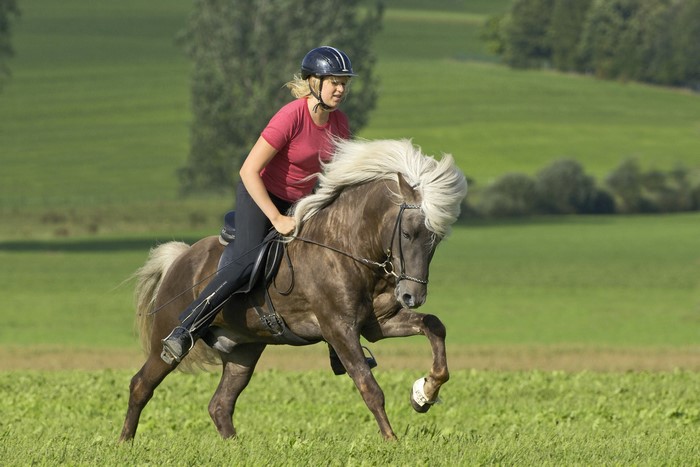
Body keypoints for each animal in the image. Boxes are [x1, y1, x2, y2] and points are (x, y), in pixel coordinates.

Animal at [119, 138, 467, 442]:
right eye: (407, 234)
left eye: (435, 240)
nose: (412, 296)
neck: (346, 247)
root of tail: (180, 258)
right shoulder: (339, 329)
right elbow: (369, 386)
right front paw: (392, 440)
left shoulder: (375, 325)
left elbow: (434, 326)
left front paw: (424, 393)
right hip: (167, 339)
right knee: (141, 384)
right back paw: (125, 443)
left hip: (244, 350)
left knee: (220, 404)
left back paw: (237, 448)